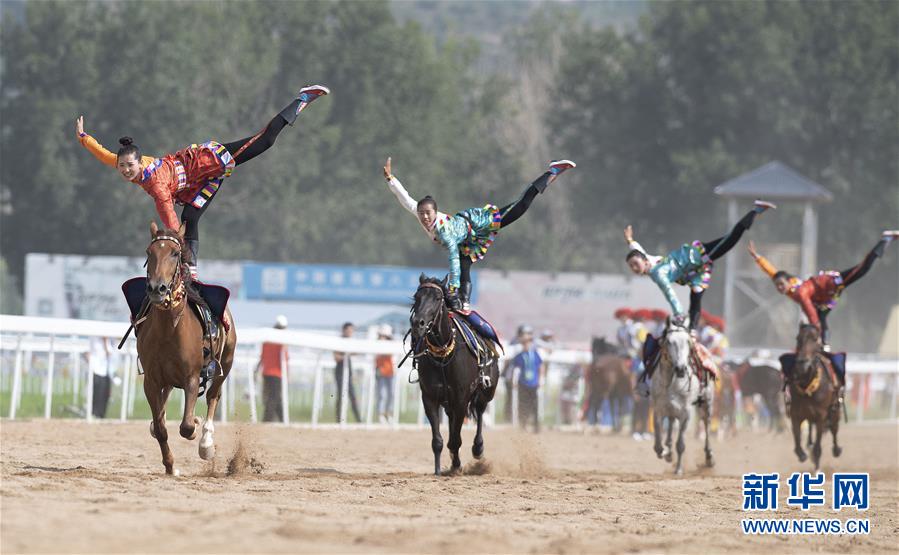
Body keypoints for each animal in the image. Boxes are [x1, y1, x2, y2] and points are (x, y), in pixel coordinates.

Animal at [137, 224, 236, 476]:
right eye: (149, 252)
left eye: (174, 253)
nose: (157, 288)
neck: (169, 329)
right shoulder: (151, 379)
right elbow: (161, 428)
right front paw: (170, 466)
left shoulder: (191, 376)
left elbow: (186, 426)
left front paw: (196, 430)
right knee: (165, 400)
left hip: (225, 362)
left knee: (213, 395)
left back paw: (206, 443)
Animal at [414, 276, 502, 476]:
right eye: (416, 297)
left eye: (438, 298)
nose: (418, 323)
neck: (443, 356)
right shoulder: (429, 397)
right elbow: (438, 441)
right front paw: (439, 469)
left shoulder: (461, 398)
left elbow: (455, 439)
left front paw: (456, 466)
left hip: (486, 392)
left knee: (480, 412)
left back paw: (478, 449)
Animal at [652, 324, 712, 476]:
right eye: (668, 341)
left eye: (688, 342)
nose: (680, 369)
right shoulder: (658, 410)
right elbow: (658, 446)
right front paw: (666, 452)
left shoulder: (686, 413)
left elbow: (680, 444)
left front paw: (678, 469)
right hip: (672, 411)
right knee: (671, 423)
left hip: (706, 403)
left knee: (706, 423)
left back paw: (709, 457)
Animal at [788, 324, 844, 472]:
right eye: (798, 338)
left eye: (815, 339)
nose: (802, 363)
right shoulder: (796, 414)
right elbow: (797, 439)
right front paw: (802, 454)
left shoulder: (821, 415)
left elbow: (818, 446)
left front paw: (817, 465)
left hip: (835, 411)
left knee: (834, 429)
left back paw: (836, 450)